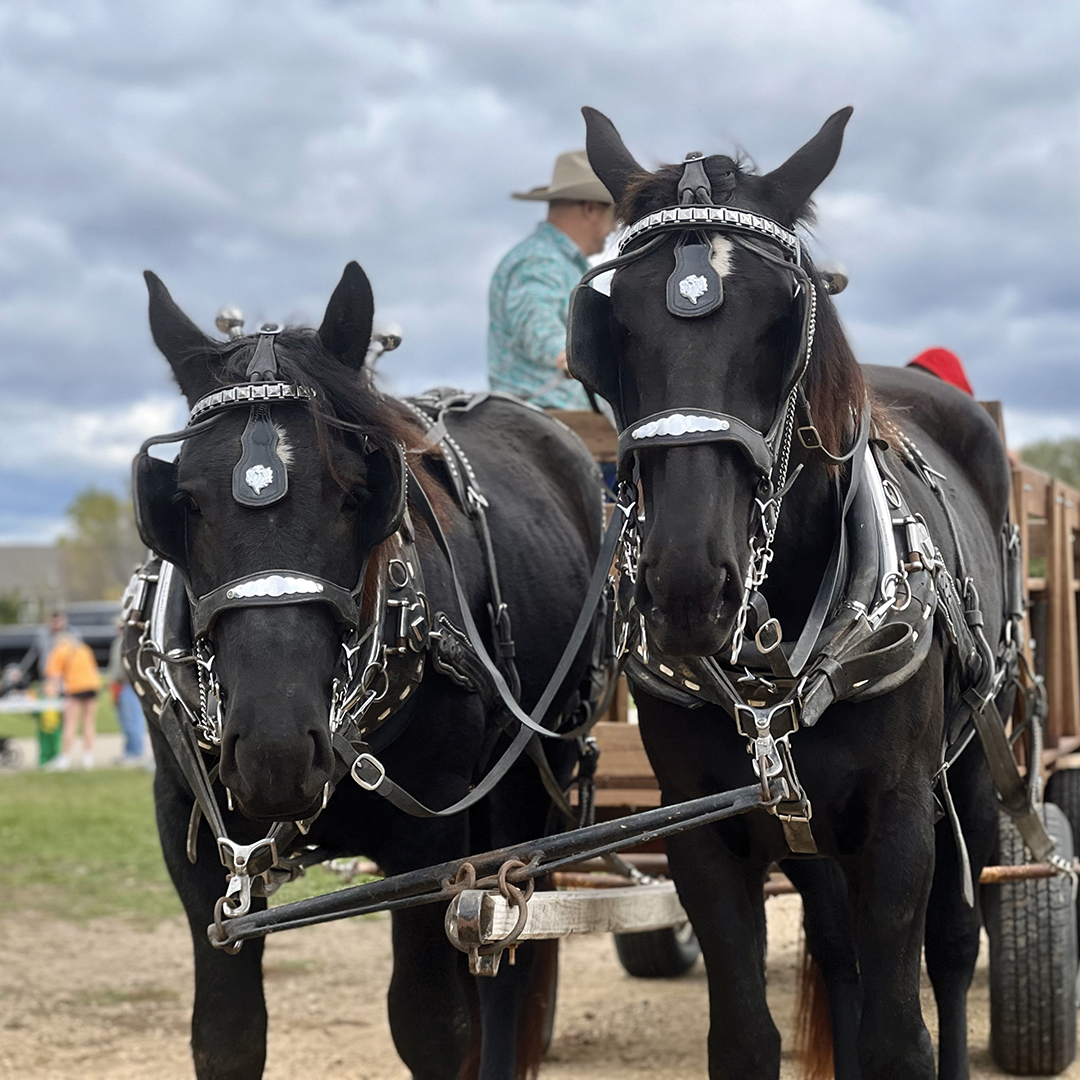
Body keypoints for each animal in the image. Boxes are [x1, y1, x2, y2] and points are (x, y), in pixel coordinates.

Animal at [128, 263, 607, 1080]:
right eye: (182, 500)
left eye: (357, 492)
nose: (276, 749)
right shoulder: (186, 836)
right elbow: (227, 1035)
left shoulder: (429, 838)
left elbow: (432, 1025)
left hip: (536, 775)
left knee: (506, 963)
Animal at [571, 106, 1014, 1079]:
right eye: (609, 325)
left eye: (785, 319)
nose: (687, 585)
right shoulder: (702, 830)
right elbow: (745, 1034)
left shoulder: (898, 821)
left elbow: (899, 1037)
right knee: (836, 948)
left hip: (970, 771)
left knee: (954, 948)